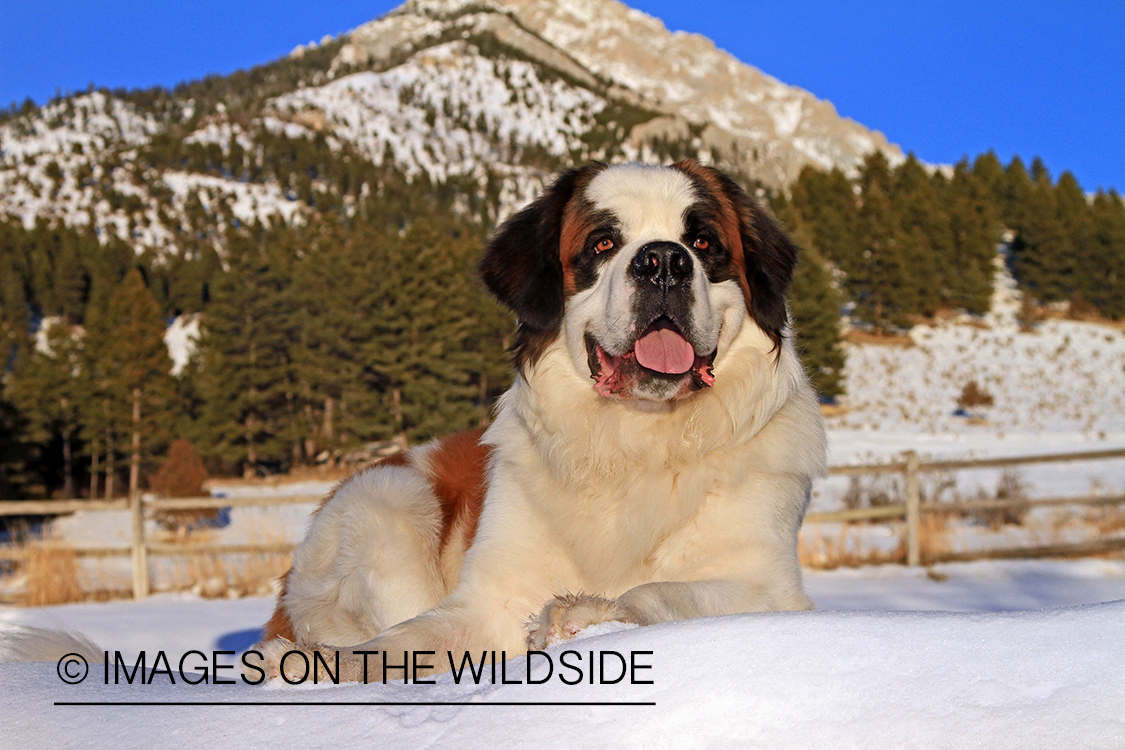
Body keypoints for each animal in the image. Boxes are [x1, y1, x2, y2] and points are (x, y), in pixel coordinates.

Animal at [253, 161, 828, 683]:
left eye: (704, 242)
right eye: (602, 243)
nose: (664, 260)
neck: (635, 442)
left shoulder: (769, 587)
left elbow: (664, 592)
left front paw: (589, 612)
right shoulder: (485, 603)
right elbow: (400, 642)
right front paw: (318, 666)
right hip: (389, 496)